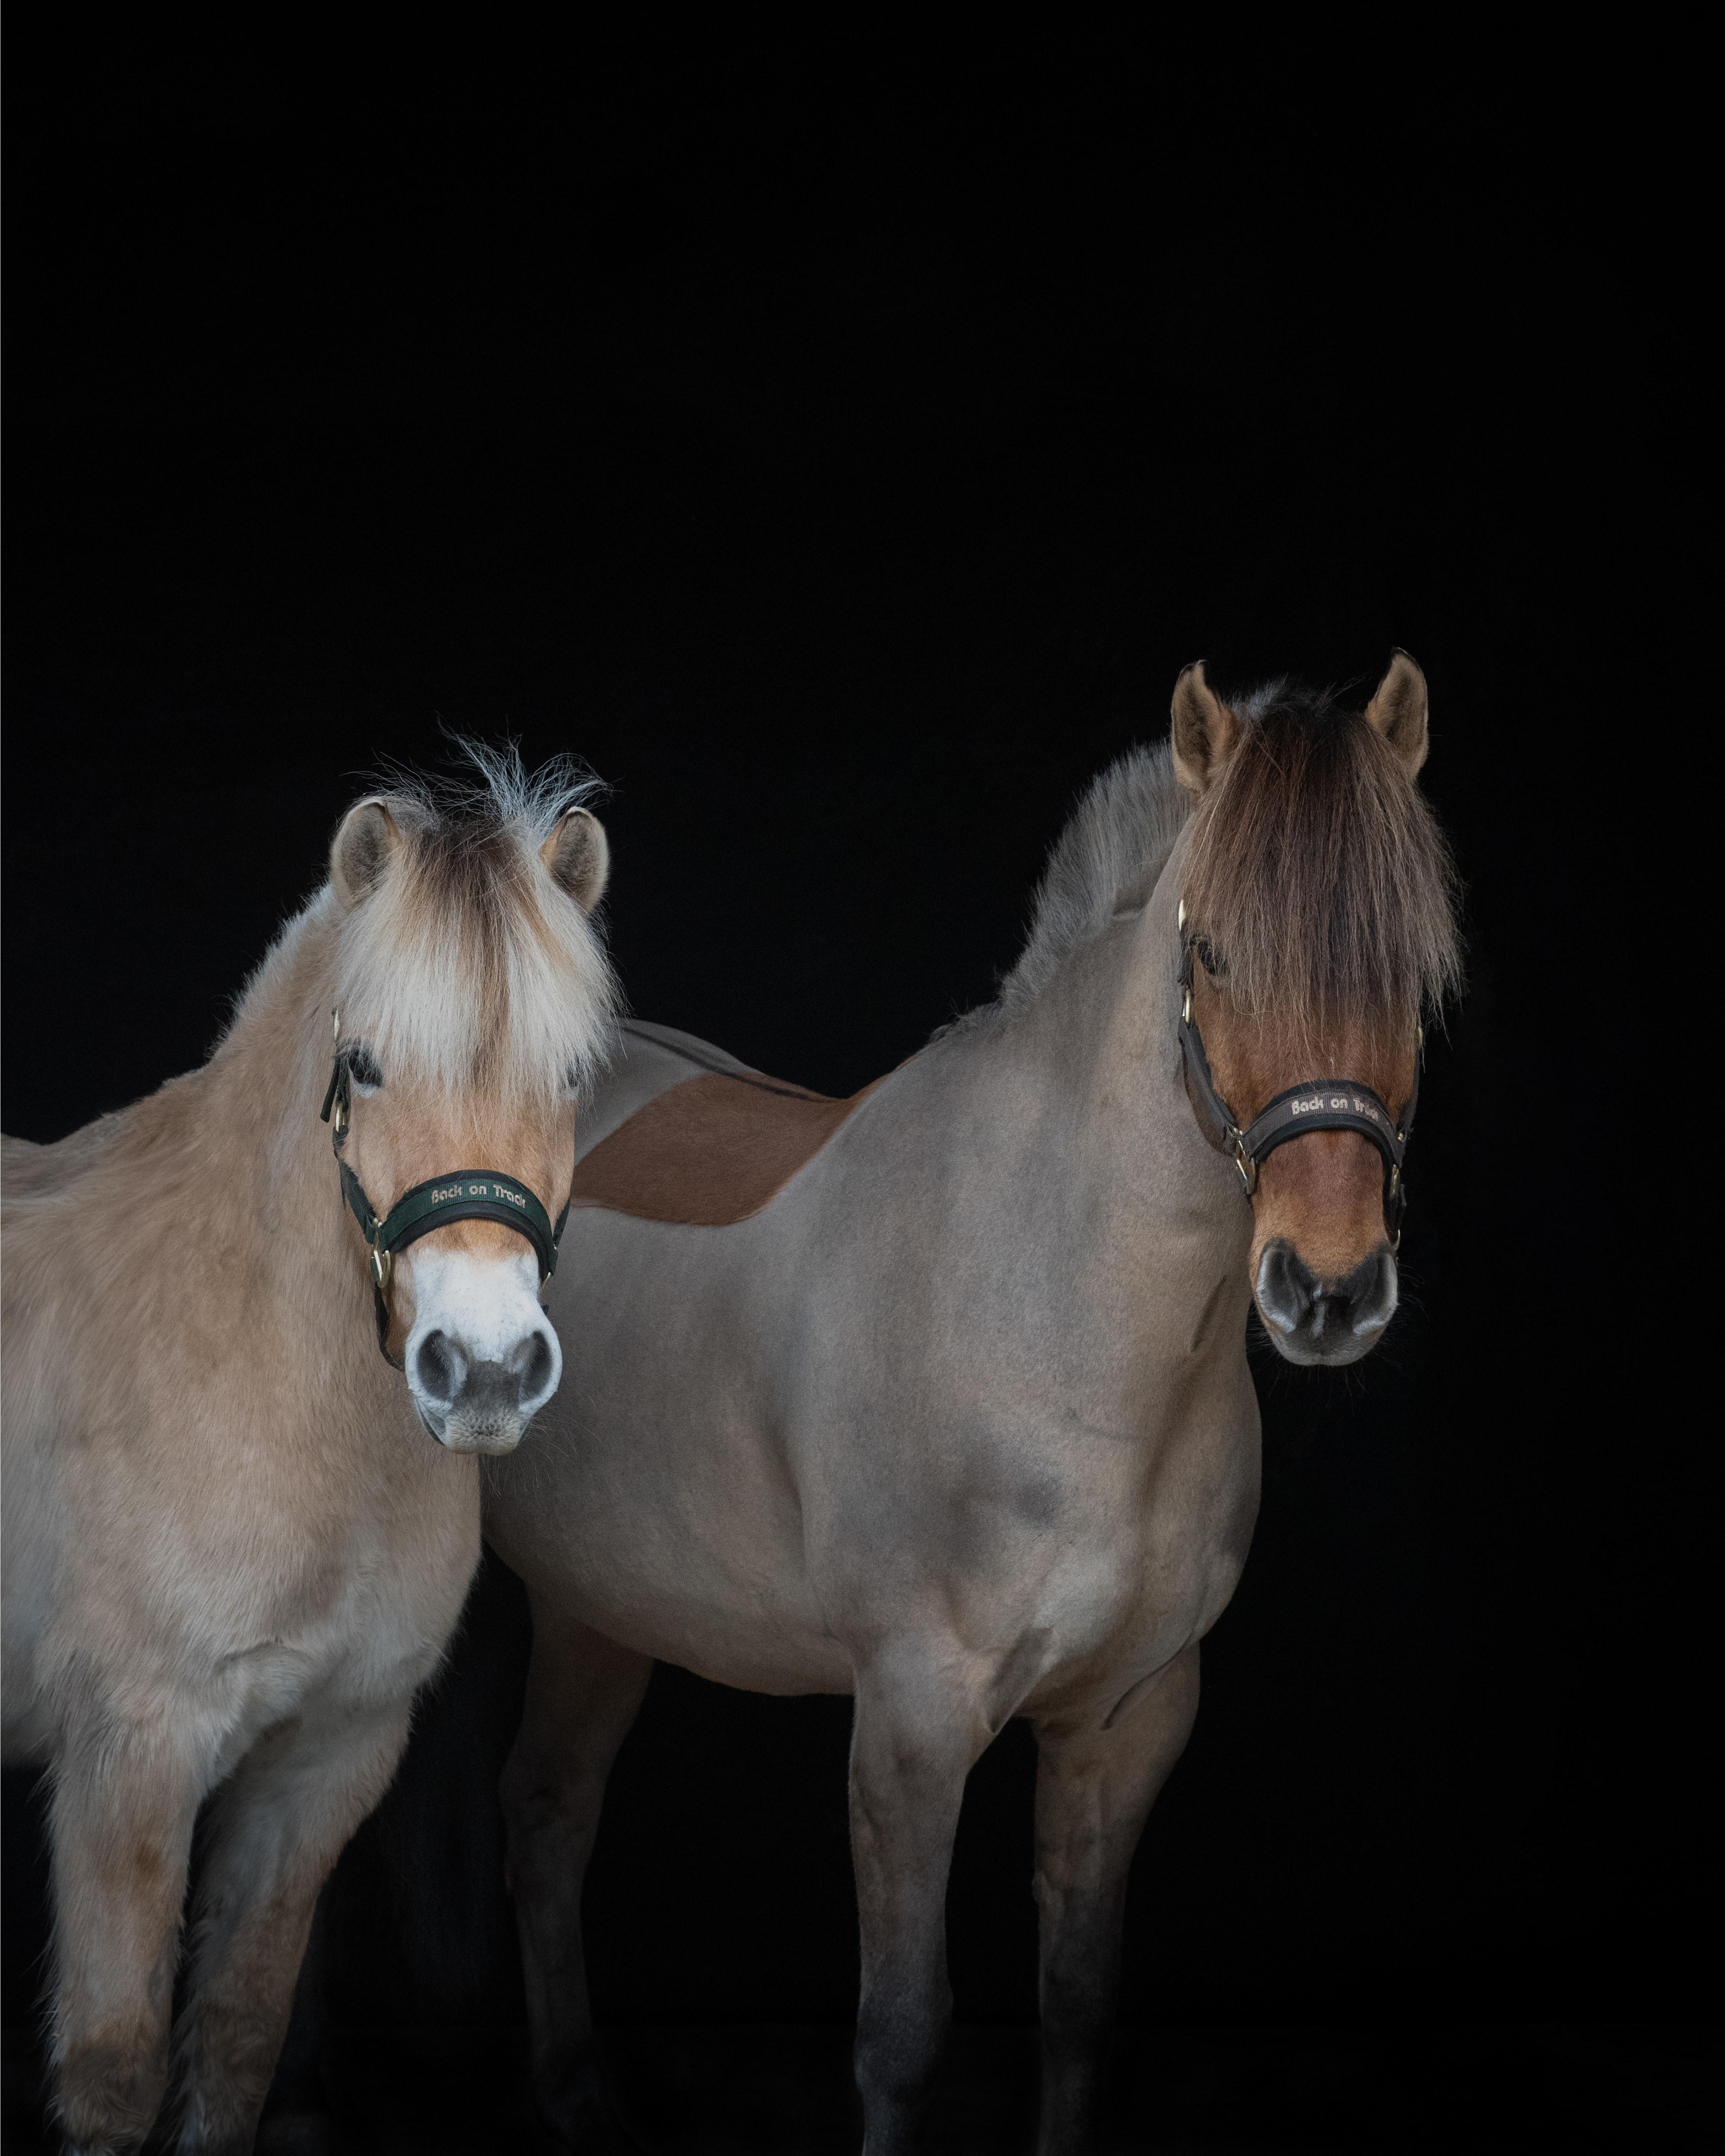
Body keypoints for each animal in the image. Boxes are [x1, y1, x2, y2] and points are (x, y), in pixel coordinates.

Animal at [1, 749, 616, 2156]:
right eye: (365, 1064)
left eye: (571, 1075)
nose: (484, 1367)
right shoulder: (130, 1760)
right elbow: (115, 2068)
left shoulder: (329, 1757)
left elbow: (235, 2042)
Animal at [483, 654, 1462, 2156]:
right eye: (1213, 957)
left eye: (1411, 969)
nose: (1329, 1287)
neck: (1057, 1311)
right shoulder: (911, 1717)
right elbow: (901, 2033)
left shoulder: (1128, 1717)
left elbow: (1078, 2001)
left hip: (597, 1600)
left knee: (546, 1812)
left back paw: (582, 2097)